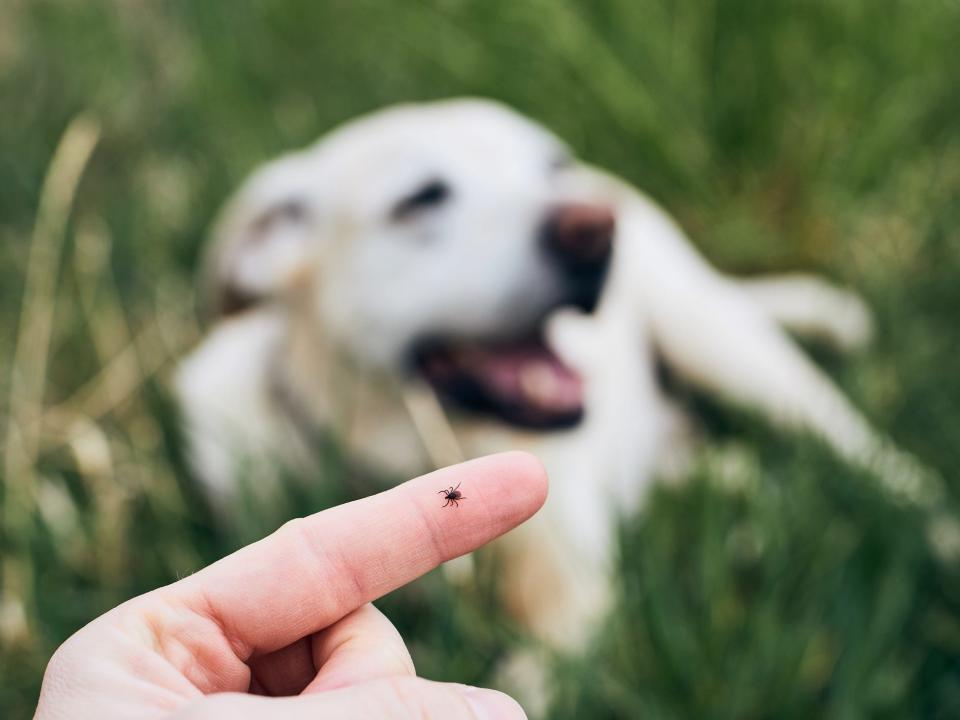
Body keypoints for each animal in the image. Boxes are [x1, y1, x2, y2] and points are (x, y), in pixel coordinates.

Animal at [176, 97, 928, 660]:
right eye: (420, 199)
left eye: (551, 166)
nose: (594, 228)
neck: (405, 450)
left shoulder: (572, 603)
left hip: (722, 344)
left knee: (871, 457)